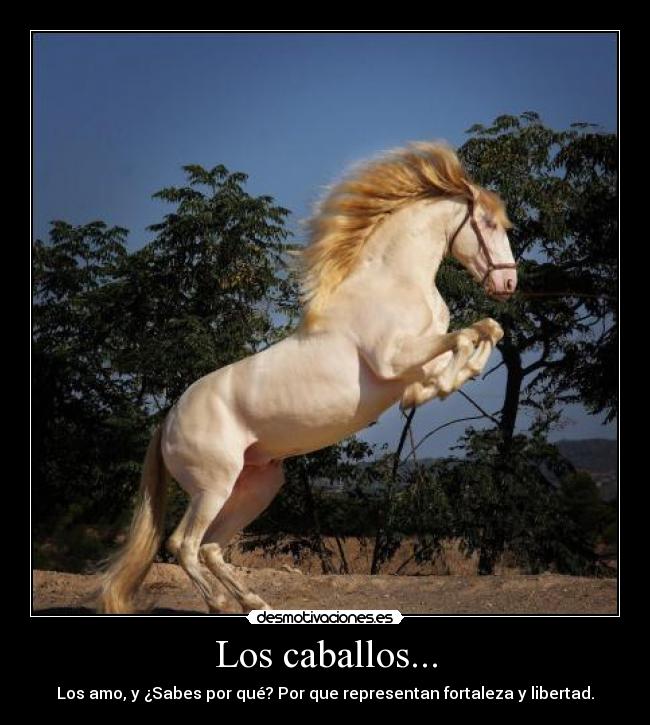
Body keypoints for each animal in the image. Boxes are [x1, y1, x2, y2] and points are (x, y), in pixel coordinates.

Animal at [97, 142, 517, 614]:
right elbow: (465, 335)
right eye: (487, 224)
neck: (393, 283)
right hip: (213, 486)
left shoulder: (412, 364)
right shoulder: (393, 357)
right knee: (183, 544)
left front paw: (435, 388)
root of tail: (167, 421)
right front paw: (442, 385)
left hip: (255, 486)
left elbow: (486, 331)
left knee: (211, 547)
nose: (508, 282)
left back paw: (254, 602)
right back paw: (221, 604)